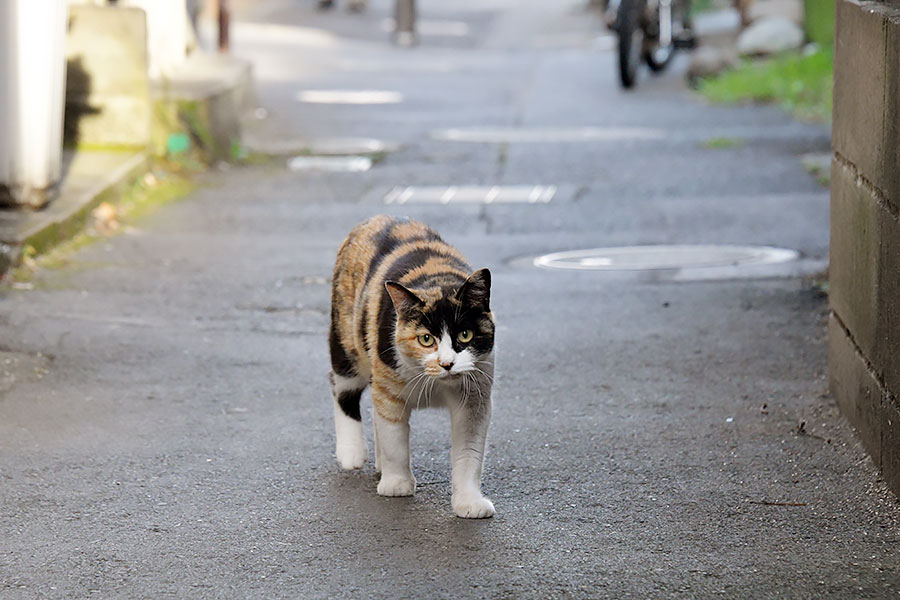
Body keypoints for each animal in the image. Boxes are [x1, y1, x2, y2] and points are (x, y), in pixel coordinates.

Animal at [330, 216, 496, 516]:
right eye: (426, 339)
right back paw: (352, 453)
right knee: (343, 390)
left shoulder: (475, 400)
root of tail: (375, 219)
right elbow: (394, 440)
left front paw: (470, 502)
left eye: (465, 335)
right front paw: (396, 484)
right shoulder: (389, 390)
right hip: (346, 340)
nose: (446, 363)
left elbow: (469, 453)